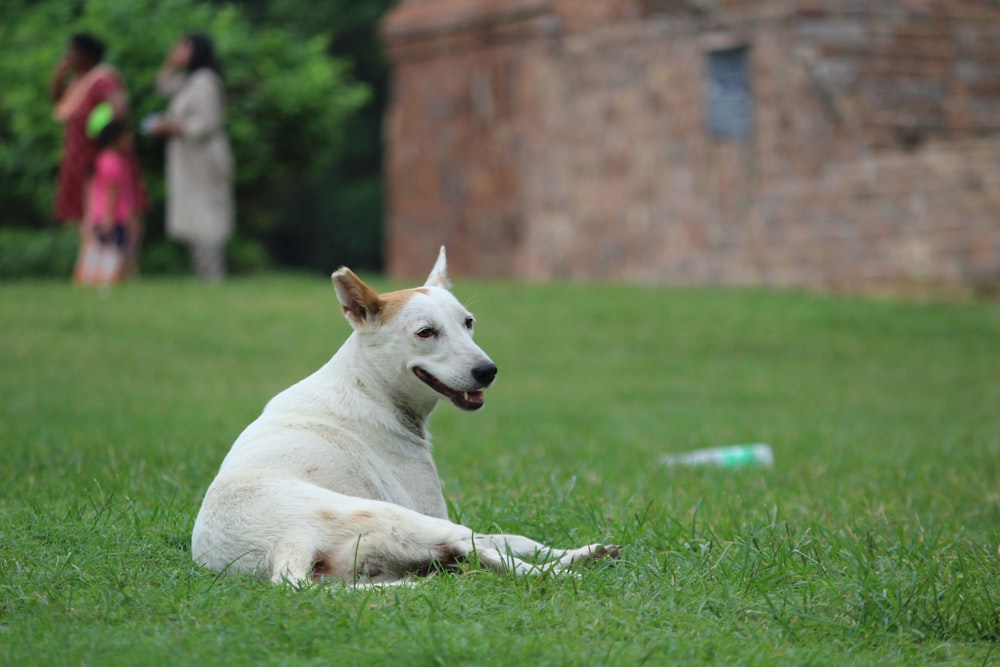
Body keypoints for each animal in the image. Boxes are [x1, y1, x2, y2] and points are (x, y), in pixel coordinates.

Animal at [189, 247, 616, 584]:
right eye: (426, 333)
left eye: (469, 323)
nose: (488, 371)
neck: (369, 388)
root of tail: (286, 543)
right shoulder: (428, 506)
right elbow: (508, 539)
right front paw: (565, 556)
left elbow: (516, 540)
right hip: (406, 519)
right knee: (483, 548)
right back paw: (569, 568)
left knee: (476, 553)